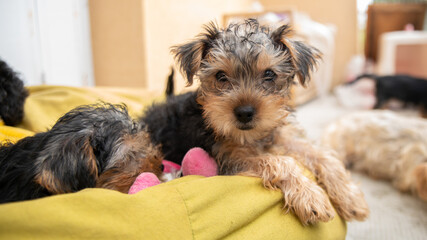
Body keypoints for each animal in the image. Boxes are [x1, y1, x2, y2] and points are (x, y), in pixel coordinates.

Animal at [142, 19, 370, 225]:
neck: (251, 137)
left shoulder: (281, 136)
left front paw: (351, 198)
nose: (244, 113)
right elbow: (279, 161)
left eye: (269, 74)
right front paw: (311, 197)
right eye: (220, 76)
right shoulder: (232, 158)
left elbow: (322, 155)